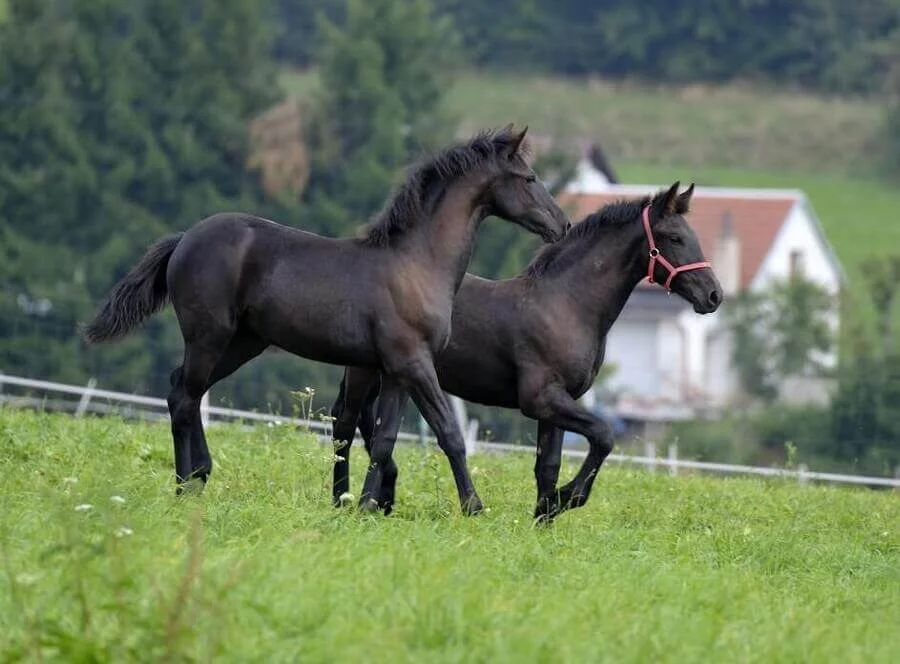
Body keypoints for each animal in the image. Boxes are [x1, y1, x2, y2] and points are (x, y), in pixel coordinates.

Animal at [86, 128, 576, 512]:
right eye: (529, 179)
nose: (563, 225)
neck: (417, 263)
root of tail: (185, 237)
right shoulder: (414, 364)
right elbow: (448, 433)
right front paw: (473, 507)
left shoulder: (395, 371)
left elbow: (385, 438)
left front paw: (367, 505)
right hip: (209, 336)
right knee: (185, 399)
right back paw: (187, 486)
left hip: (243, 343)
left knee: (179, 391)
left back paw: (200, 475)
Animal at [330, 180, 724, 520]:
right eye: (675, 238)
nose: (714, 295)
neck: (566, 304)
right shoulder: (541, 399)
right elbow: (603, 436)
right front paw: (565, 498)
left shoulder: (558, 402)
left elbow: (548, 466)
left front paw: (543, 518)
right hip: (370, 369)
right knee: (346, 421)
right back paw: (351, 498)